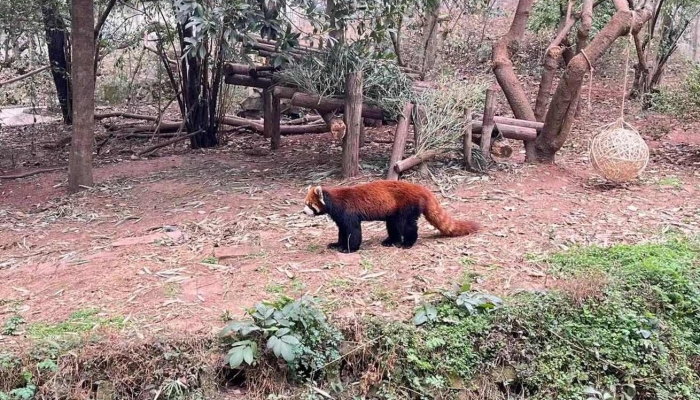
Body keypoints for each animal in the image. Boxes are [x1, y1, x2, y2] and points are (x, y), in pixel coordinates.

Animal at [304, 180, 478, 253]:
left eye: (309, 205)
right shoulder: (340, 218)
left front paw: (349, 249)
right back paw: (391, 241)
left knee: (406, 225)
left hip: (407, 206)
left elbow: (353, 232)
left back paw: (407, 243)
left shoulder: (349, 213)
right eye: (305, 203)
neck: (333, 200)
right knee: (392, 225)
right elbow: (342, 231)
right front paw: (337, 244)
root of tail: (421, 189)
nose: (303, 212)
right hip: (393, 211)